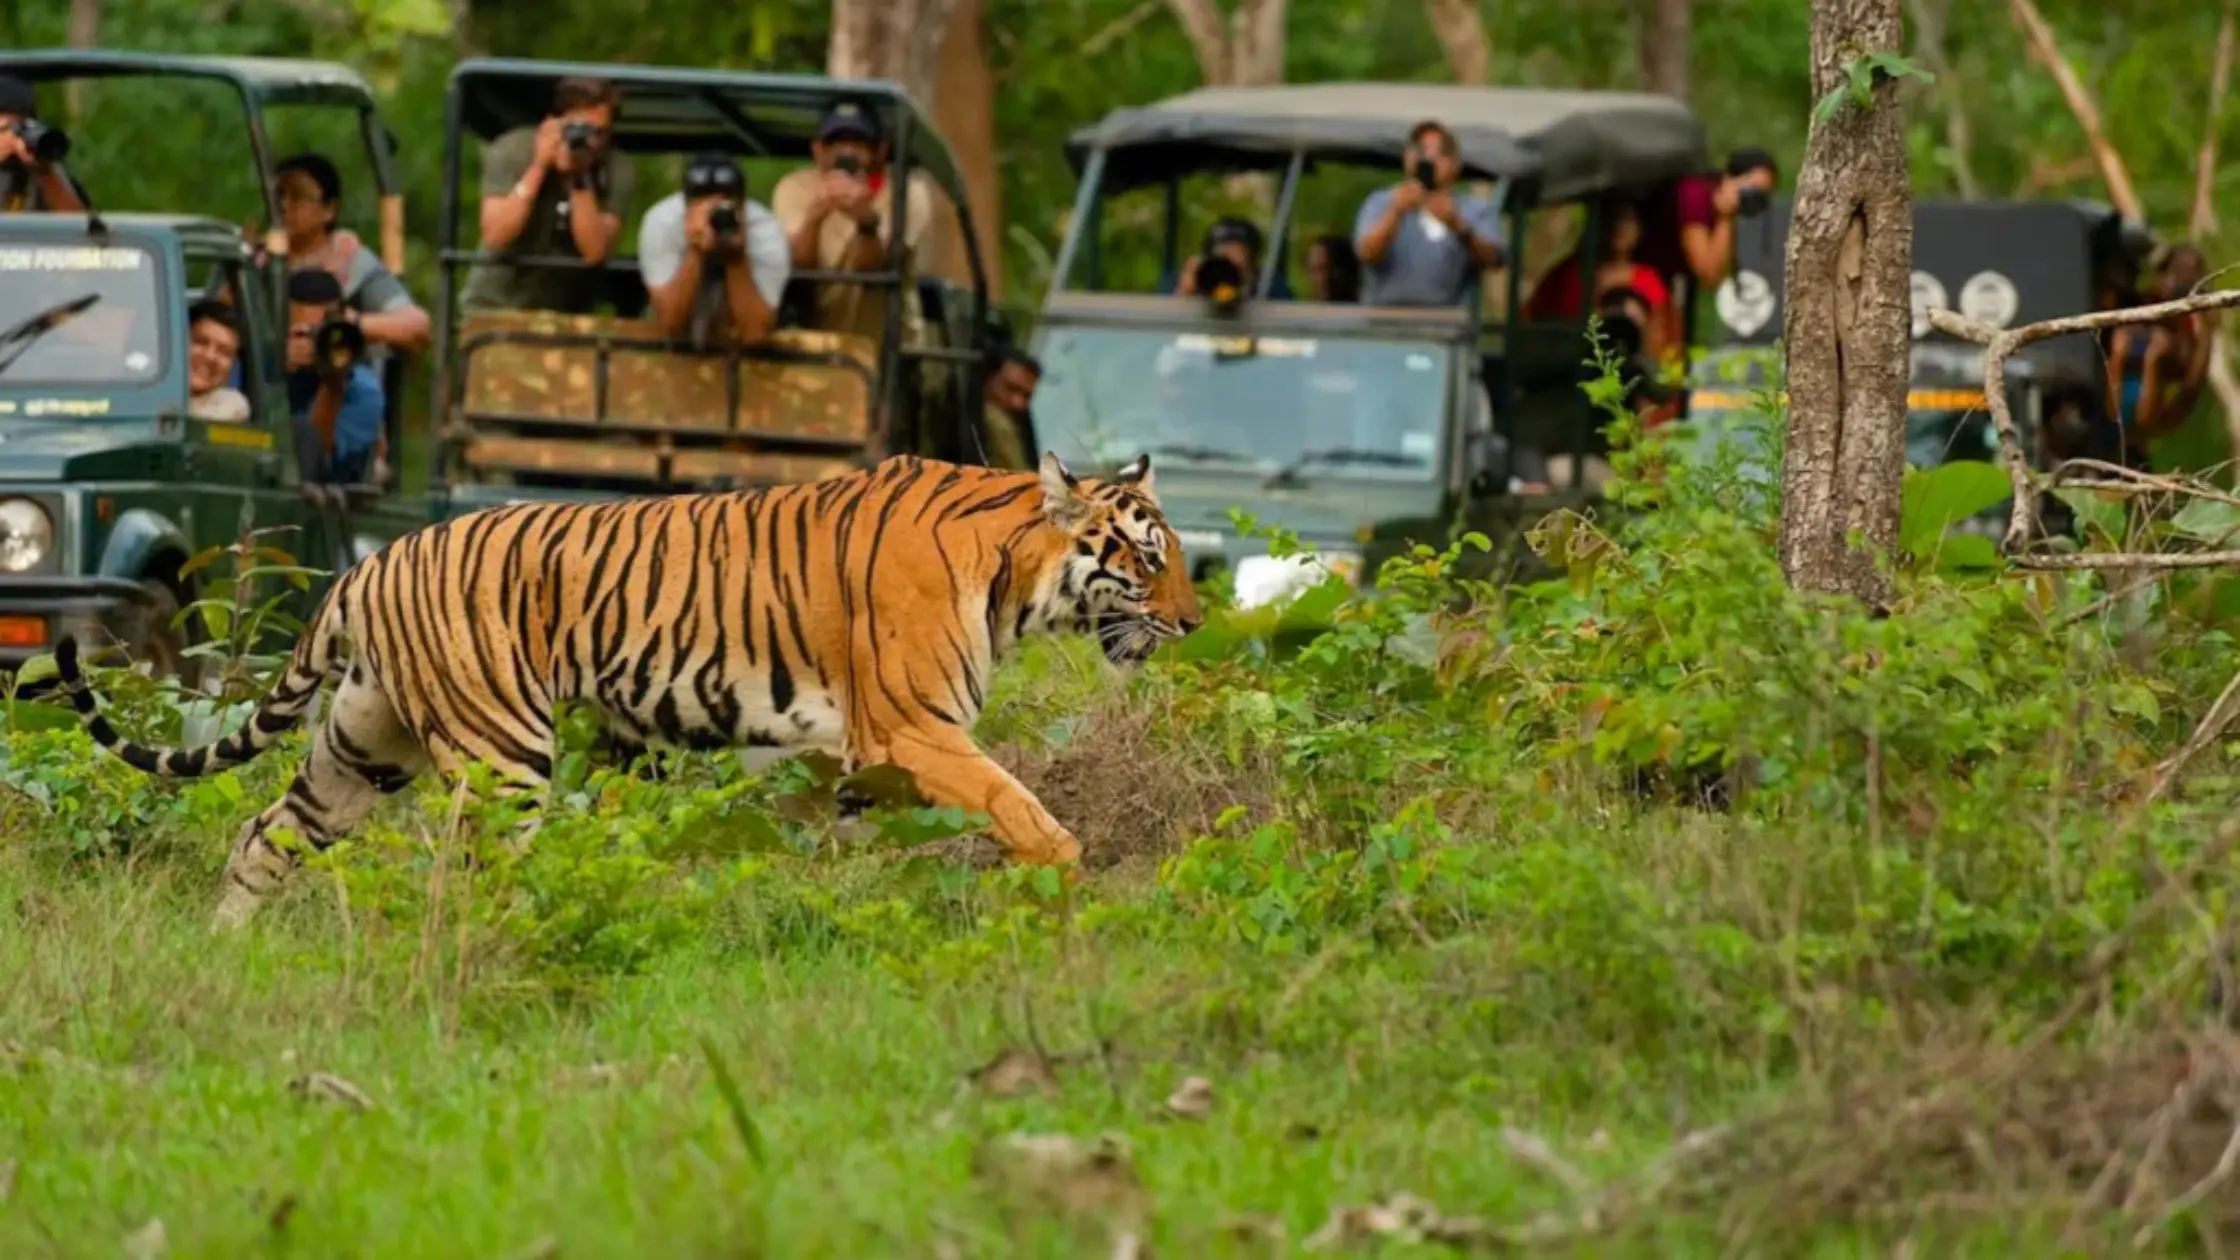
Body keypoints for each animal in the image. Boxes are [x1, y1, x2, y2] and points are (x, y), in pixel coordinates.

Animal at [54, 451, 1203, 929]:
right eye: (1147, 561)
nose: (1194, 623)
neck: (1009, 572)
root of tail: (367, 566)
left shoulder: (855, 763)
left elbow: (851, 854)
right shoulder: (908, 730)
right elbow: (1019, 805)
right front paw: (1065, 886)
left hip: (363, 744)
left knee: (263, 833)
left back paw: (225, 952)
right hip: (501, 754)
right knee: (468, 876)